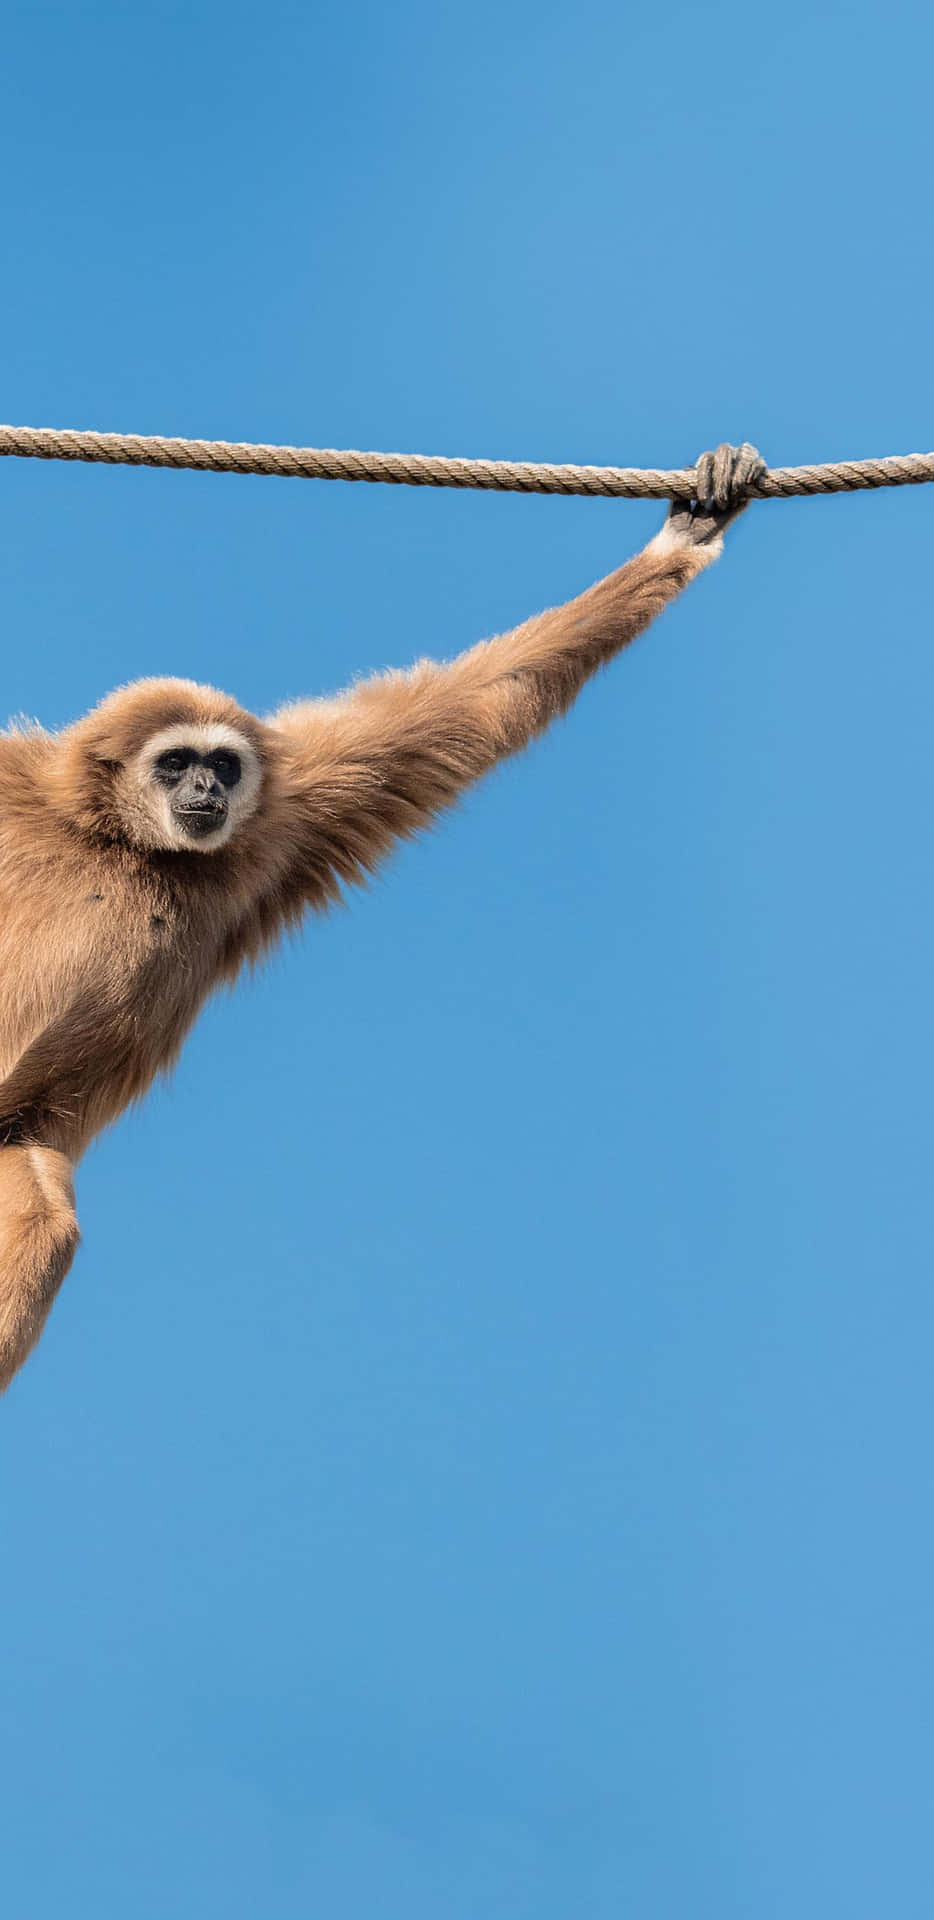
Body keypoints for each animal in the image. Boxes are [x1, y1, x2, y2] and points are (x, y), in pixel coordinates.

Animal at [0, 442, 763, 1391]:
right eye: (175, 764)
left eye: (222, 764)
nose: (208, 788)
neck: (124, 844)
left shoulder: (281, 821)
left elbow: (458, 711)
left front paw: (688, 533)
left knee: (41, 1218)